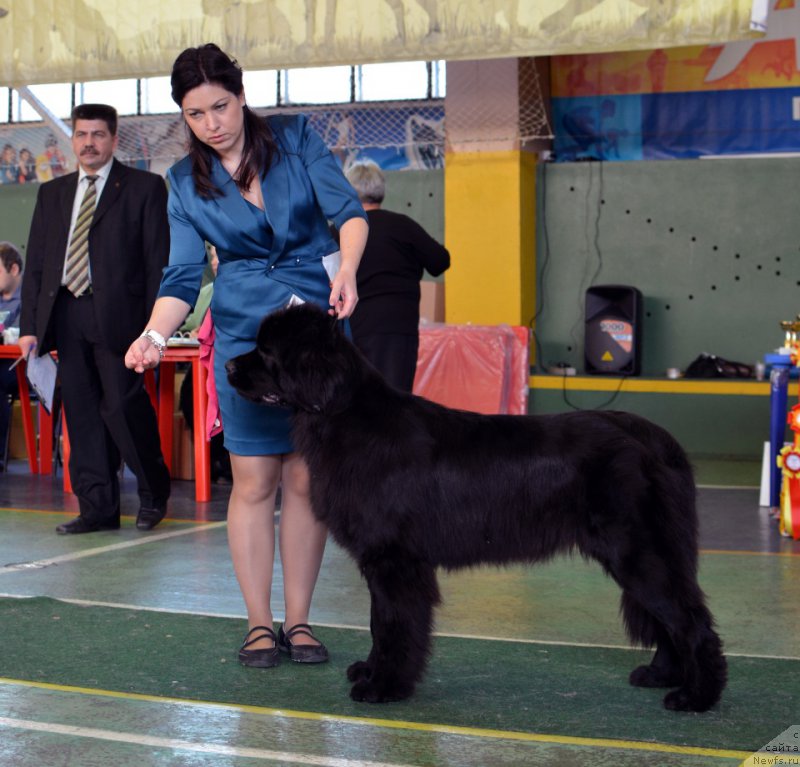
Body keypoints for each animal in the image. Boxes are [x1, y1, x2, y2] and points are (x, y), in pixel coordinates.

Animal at [225, 304, 724, 712]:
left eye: (265, 351)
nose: (227, 364)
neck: (345, 415)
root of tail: (651, 437)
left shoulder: (394, 560)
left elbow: (393, 624)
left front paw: (384, 686)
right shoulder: (386, 561)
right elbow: (378, 623)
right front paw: (371, 671)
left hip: (638, 550)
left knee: (690, 619)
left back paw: (697, 696)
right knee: (671, 616)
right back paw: (662, 676)